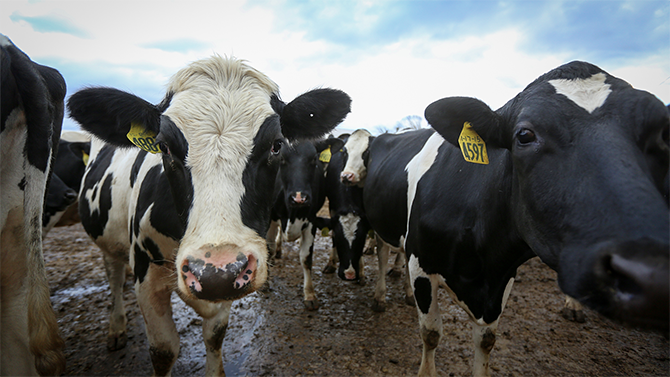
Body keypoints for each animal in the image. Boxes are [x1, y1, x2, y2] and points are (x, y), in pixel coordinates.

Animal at [266, 137, 344, 308]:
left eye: (314, 159)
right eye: (282, 158)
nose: (299, 197)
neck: (293, 213)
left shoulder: (311, 220)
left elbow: (306, 259)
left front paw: (310, 294)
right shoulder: (270, 216)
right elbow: (269, 248)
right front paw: (265, 281)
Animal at [344, 61, 670, 376]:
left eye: (661, 134)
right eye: (524, 135)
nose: (652, 273)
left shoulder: (503, 274)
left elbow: (486, 340)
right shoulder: (422, 263)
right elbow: (431, 334)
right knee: (383, 254)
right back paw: (380, 297)